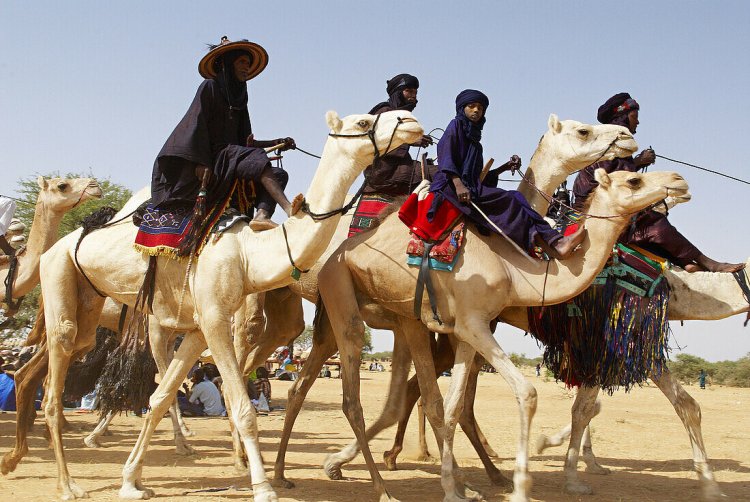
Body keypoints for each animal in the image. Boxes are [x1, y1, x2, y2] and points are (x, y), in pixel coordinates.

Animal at [27, 111, 424, 502]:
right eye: (364, 122)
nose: (412, 122)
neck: (249, 253)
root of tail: (57, 246)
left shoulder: (200, 328)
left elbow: (161, 396)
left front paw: (130, 482)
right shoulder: (216, 319)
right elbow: (242, 406)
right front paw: (263, 488)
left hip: (91, 306)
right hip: (60, 277)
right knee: (53, 387)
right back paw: (67, 484)